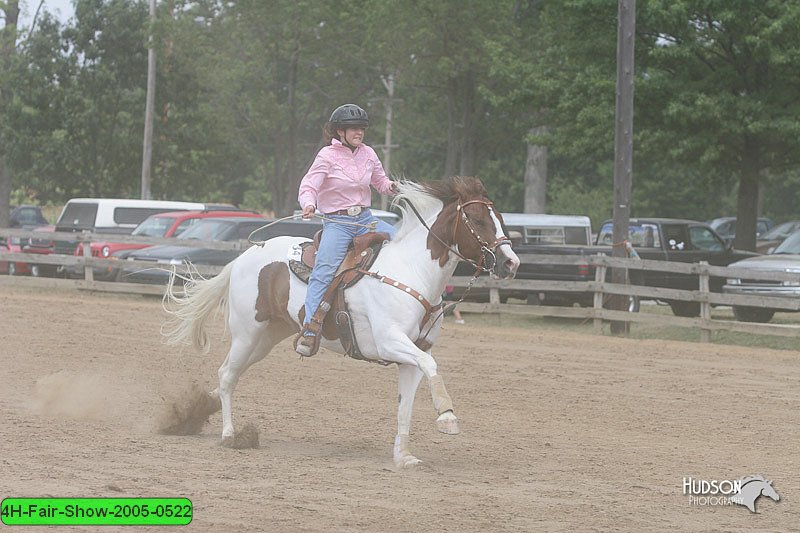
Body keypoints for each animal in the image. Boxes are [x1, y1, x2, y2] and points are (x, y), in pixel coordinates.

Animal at [160, 176, 520, 466]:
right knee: (226, 375)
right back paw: (228, 434)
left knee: (231, 375)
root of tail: (246, 255)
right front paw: (447, 417)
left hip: (267, 337)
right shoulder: (389, 342)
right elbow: (432, 367)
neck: (411, 271)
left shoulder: (414, 353)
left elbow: (405, 403)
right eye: (478, 220)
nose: (510, 263)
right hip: (247, 332)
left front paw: (404, 456)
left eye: (500, 219)